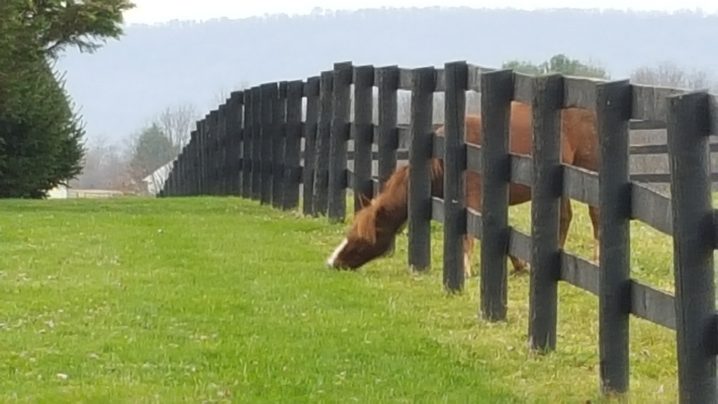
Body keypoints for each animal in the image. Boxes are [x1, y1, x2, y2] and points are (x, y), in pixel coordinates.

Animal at [328, 102, 600, 276]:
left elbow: (469, 236)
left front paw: (466, 270)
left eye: (361, 237)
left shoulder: (473, 201)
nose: (332, 262)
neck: (443, 160)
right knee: (565, 217)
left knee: (595, 215)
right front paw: (521, 265)